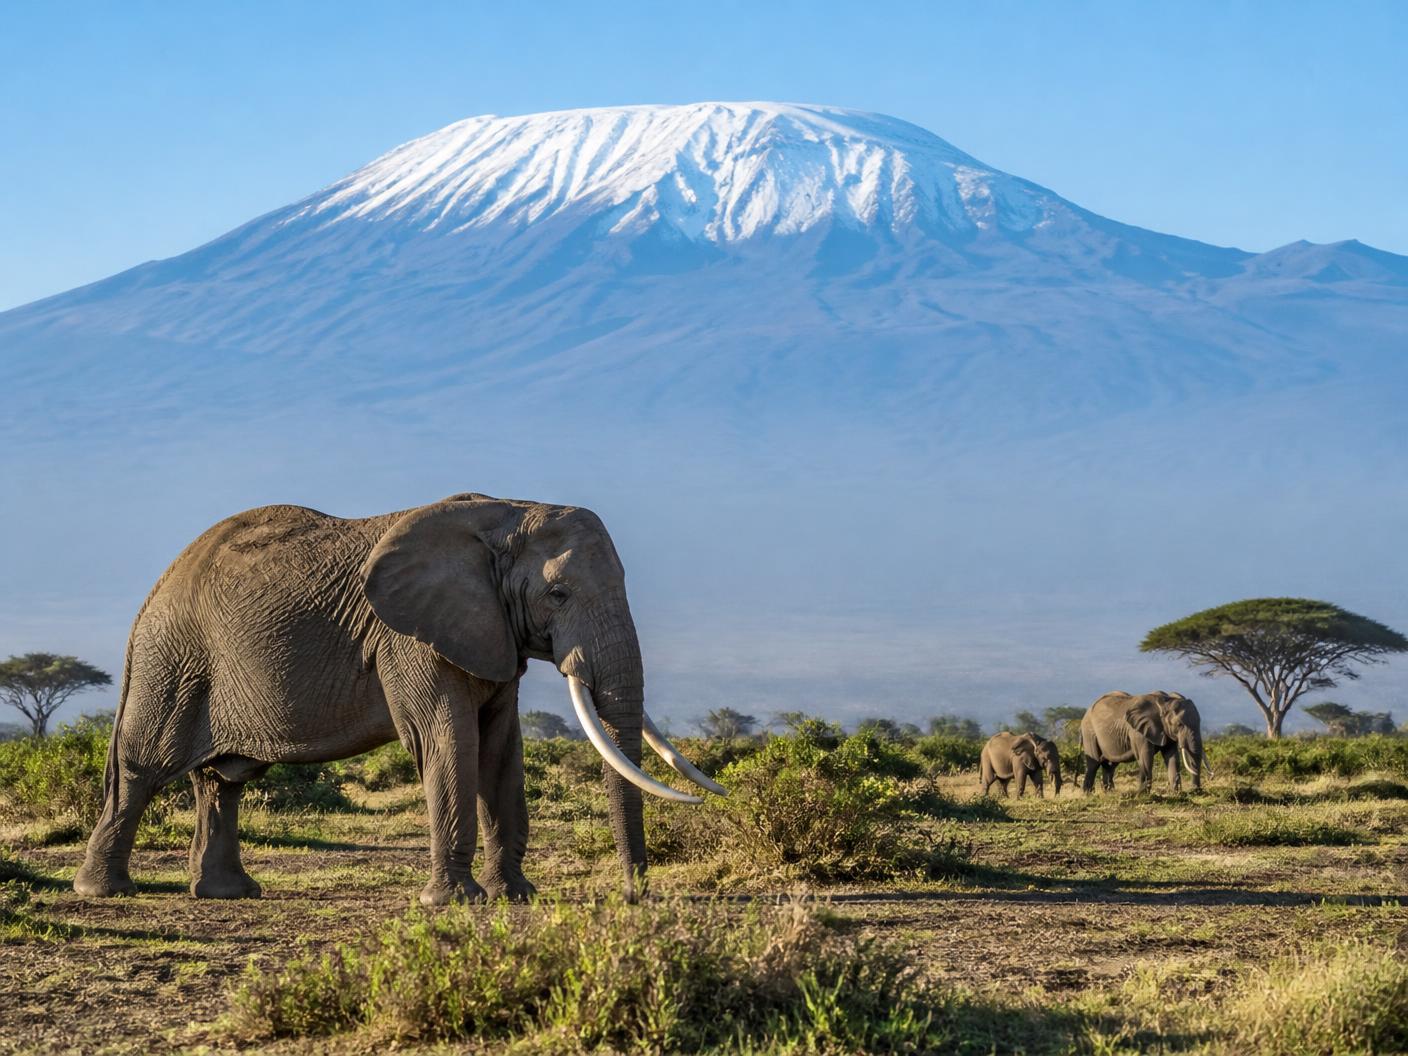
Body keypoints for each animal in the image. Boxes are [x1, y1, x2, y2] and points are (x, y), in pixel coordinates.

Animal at [73, 494, 725, 905]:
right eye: (559, 594)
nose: (632, 894)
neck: (509, 511)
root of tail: (158, 584)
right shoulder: (410, 638)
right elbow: (448, 739)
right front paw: (455, 902)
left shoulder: (492, 634)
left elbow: (499, 750)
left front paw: (515, 897)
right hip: (174, 657)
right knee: (142, 767)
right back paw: (104, 890)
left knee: (223, 779)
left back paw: (229, 894)